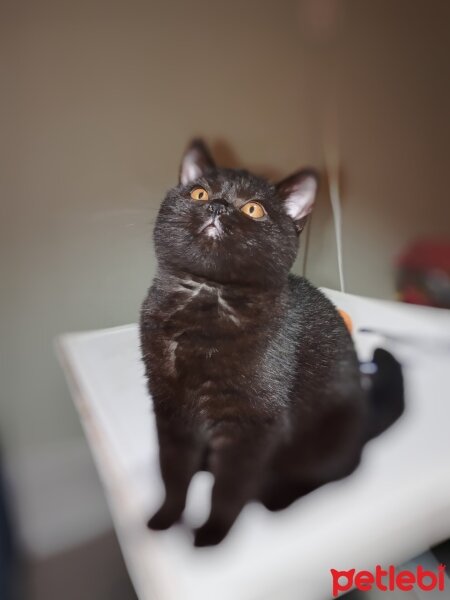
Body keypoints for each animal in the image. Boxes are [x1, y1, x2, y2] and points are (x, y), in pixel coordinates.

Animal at [141, 141, 404, 548]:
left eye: (253, 209)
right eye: (199, 193)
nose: (217, 207)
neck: (207, 300)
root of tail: (364, 419)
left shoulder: (252, 427)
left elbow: (229, 486)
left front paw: (211, 536)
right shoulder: (170, 408)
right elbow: (173, 471)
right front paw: (165, 518)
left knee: (336, 470)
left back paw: (278, 496)